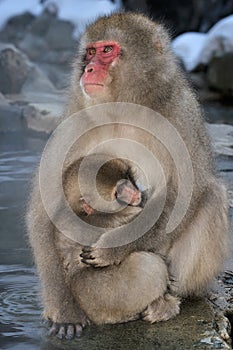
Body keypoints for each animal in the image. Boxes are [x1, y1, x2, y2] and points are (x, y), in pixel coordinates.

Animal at [27, 13, 229, 340]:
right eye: (90, 52)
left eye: (107, 50)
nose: (88, 68)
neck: (123, 109)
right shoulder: (74, 121)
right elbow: (43, 213)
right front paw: (63, 310)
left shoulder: (181, 115)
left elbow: (187, 193)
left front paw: (112, 249)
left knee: (212, 195)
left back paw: (168, 301)